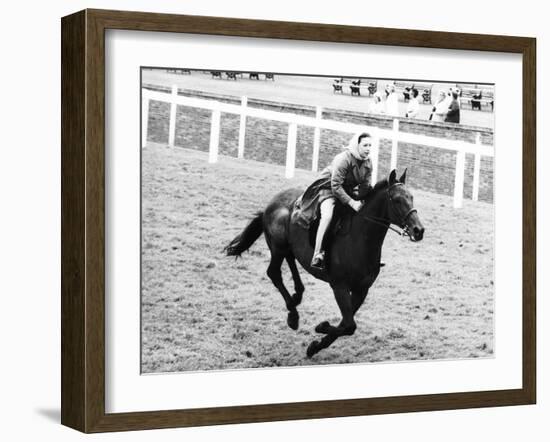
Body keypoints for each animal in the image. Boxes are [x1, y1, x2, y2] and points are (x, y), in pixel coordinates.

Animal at [224, 167, 426, 358]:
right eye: (397, 200)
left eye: (411, 197)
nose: (418, 230)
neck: (360, 238)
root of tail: (271, 204)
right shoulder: (339, 287)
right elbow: (349, 325)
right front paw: (321, 327)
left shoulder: (361, 290)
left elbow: (346, 324)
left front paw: (315, 346)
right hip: (278, 247)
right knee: (273, 273)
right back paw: (293, 315)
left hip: (287, 247)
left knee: (291, 261)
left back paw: (297, 296)